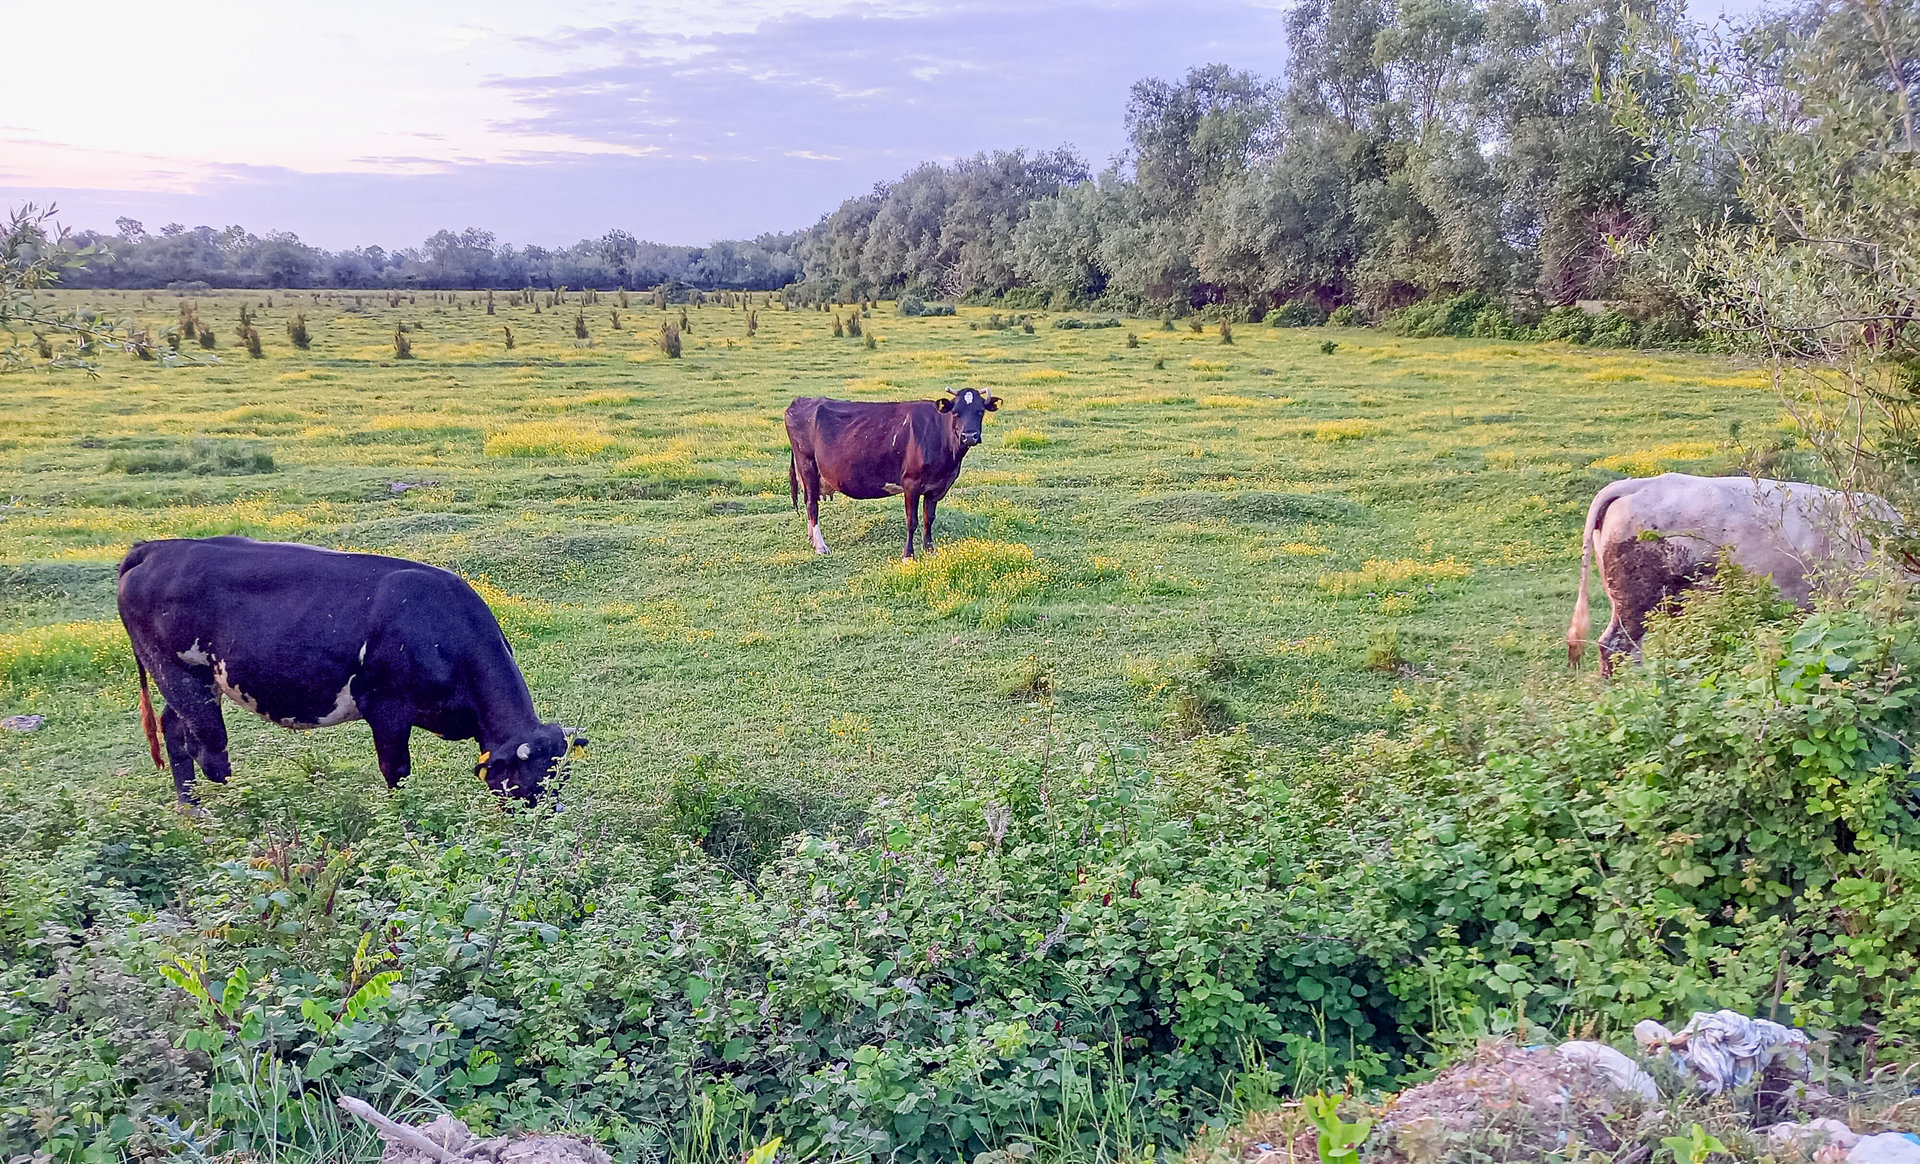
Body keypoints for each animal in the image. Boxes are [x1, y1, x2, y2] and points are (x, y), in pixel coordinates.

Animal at [117, 536, 584, 805]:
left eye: (559, 779)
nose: (547, 822)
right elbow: (397, 774)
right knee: (204, 748)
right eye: (524, 783)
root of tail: (157, 547)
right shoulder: (387, 708)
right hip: (178, 675)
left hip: (193, 682)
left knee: (175, 730)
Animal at [785, 386, 999, 559]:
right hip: (807, 465)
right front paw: (908, 555)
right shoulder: (911, 483)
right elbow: (912, 521)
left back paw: (812, 539)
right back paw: (820, 546)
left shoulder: (936, 487)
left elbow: (929, 519)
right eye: (956, 412)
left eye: (980, 411)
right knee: (812, 505)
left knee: (808, 501)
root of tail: (800, 401)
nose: (969, 436)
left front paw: (930, 550)